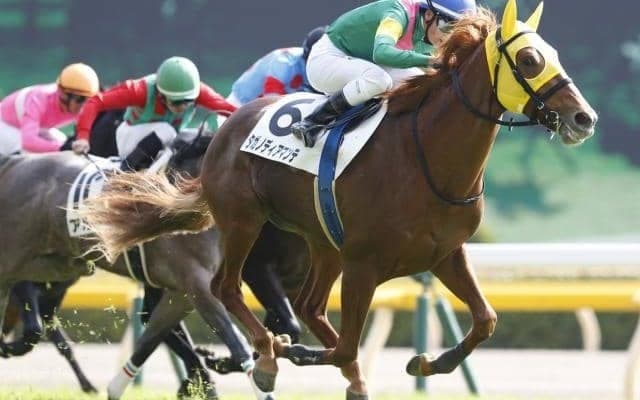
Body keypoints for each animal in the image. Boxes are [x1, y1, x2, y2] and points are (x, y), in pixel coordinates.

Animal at [79, 1, 598, 399]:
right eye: (529, 60)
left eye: (551, 55)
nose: (584, 118)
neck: (426, 155)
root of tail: (226, 126)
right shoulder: (364, 262)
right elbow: (345, 342)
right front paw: (287, 353)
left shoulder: (445, 253)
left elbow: (486, 320)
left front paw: (426, 363)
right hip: (244, 222)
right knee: (228, 290)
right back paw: (268, 357)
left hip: (321, 242)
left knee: (308, 307)